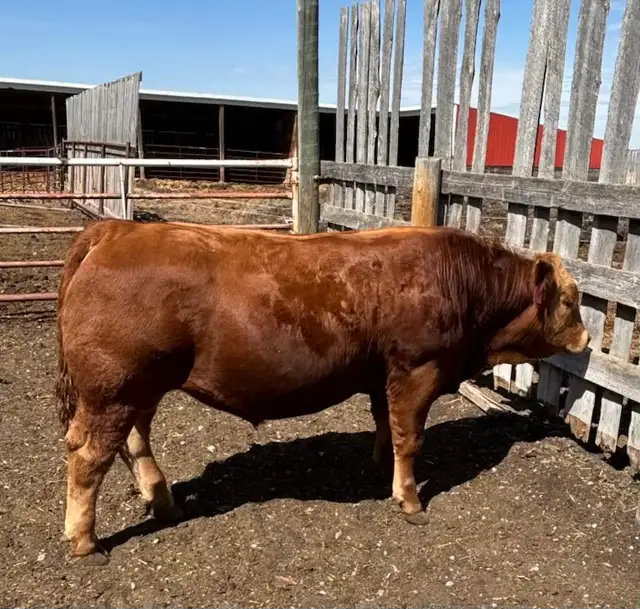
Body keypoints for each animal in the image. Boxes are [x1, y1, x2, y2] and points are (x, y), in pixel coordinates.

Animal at [55, 219, 589, 564]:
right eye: (570, 300)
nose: (586, 340)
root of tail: (116, 229)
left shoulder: (381, 374)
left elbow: (384, 422)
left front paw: (380, 465)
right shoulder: (418, 368)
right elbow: (411, 435)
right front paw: (409, 500)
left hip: (137, 387)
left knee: (134, 440)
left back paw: (162, 500)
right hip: (114, 388)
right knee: (88, 456)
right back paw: (85, 542)